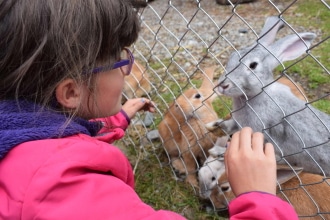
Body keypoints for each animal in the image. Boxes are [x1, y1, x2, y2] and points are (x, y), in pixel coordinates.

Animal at [209, 15, 330, 175]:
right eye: (232, 56)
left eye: (253, 65)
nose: (223, 85)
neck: (255, 95)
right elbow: (229, 125)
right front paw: (215, 125)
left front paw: (217, 152)